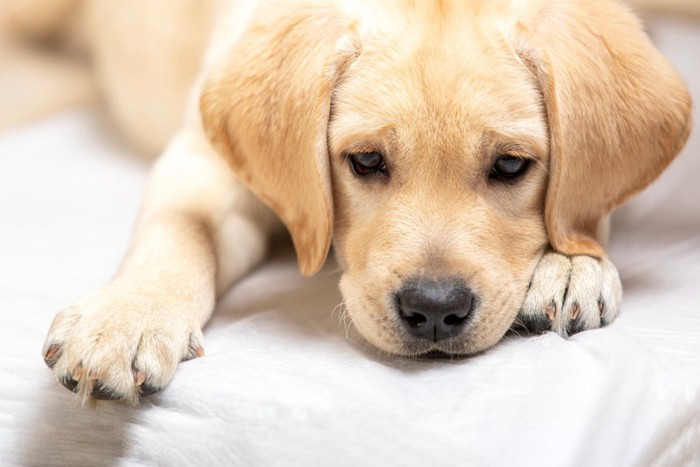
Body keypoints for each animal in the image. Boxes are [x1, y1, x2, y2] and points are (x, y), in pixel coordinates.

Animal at [4, 0, 688, 404]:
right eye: (365, 161)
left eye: (511, 165)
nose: (433, 309)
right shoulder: (203, 159)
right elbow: (179, 230)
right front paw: (127, 315)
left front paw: (573, 261)